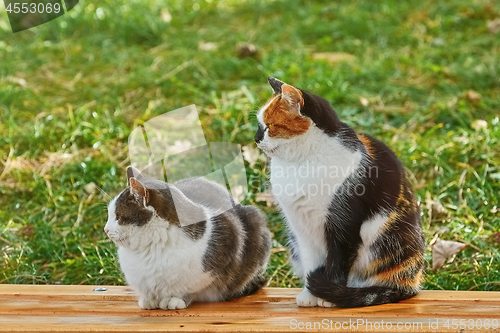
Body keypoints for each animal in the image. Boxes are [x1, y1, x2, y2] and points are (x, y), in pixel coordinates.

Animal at [103, 167, 272, 310]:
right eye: (110, 214)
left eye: (118, 217)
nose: (105, 229)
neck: (150, 248)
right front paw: (149, 299)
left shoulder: (227, 245)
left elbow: (189, 288)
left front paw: (176, 299)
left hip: (255, 220)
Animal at [256, 76, 424, 308]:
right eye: (259, 124)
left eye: (270, 126)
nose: (256, 138)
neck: (301, 162)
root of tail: (413, 283)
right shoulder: (301, 227)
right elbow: (311, 261)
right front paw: (310, 294)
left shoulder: (344, 224)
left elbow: (338, 262)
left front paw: (328, 296)